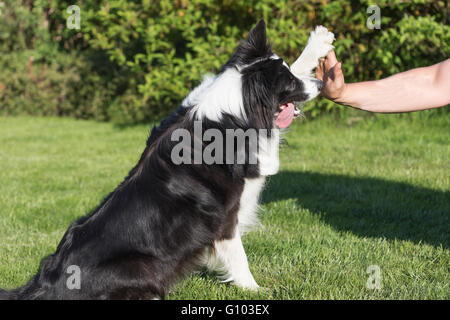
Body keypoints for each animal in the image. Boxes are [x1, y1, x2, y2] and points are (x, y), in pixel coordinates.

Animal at [0, 20, 334, 300]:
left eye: (290, 74)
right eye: (289, 82)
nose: (320, 85)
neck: (238, 109)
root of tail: (45, 284)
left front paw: (317, 43)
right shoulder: (225, 216)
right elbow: (239, 257)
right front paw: (256, 290)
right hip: (141, 266)